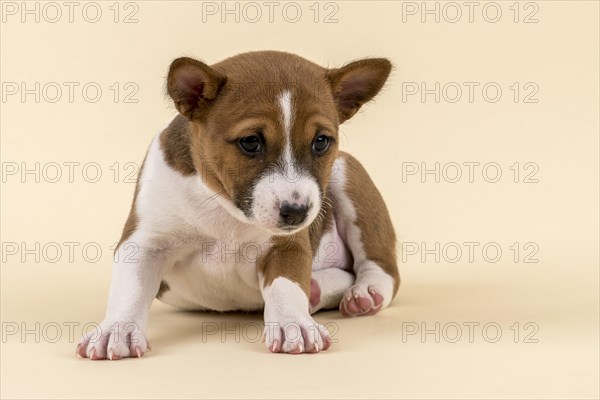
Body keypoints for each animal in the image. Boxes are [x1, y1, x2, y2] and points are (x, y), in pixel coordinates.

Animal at [77, 50, 400, 360]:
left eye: (321, 141)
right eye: (251, 142)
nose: (297, 213)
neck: (225, 209)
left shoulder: (287, 247)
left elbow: (286, 286)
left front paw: (293, 324)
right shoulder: (144, 242)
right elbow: (129, 289)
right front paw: (117, 330)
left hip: (348, 174)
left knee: (382, 269)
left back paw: (363, 292)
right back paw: (319, 290)